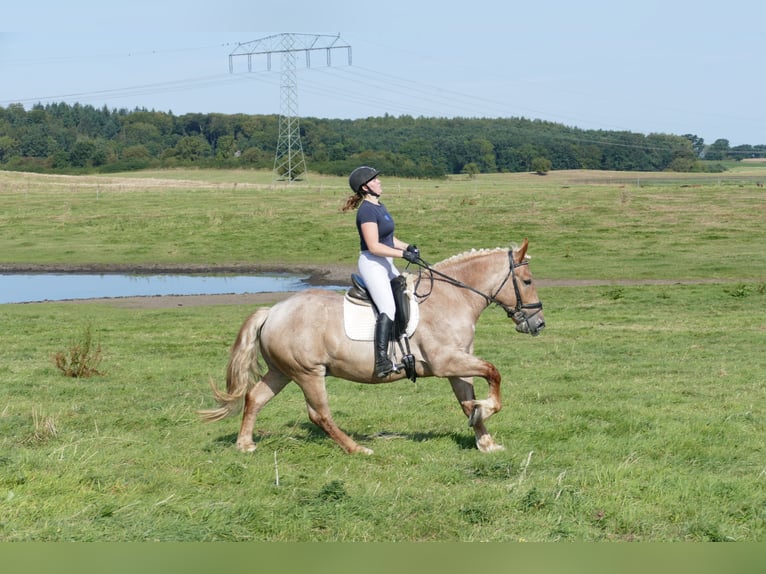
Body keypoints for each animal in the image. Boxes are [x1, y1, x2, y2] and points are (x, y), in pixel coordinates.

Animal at [198, 238, 544, 454]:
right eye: (527, 282)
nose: (538, 324)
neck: (453, 297)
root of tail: (272, 311)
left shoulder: (457, 365)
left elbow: (467, 400)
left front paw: (485, 438)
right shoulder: (446, 361)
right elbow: (494, 373)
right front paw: (486, 409)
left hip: (281, 372)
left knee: (255, 398)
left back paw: (245, 444)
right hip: (309, 373)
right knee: (319, 414)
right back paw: (357, 449)